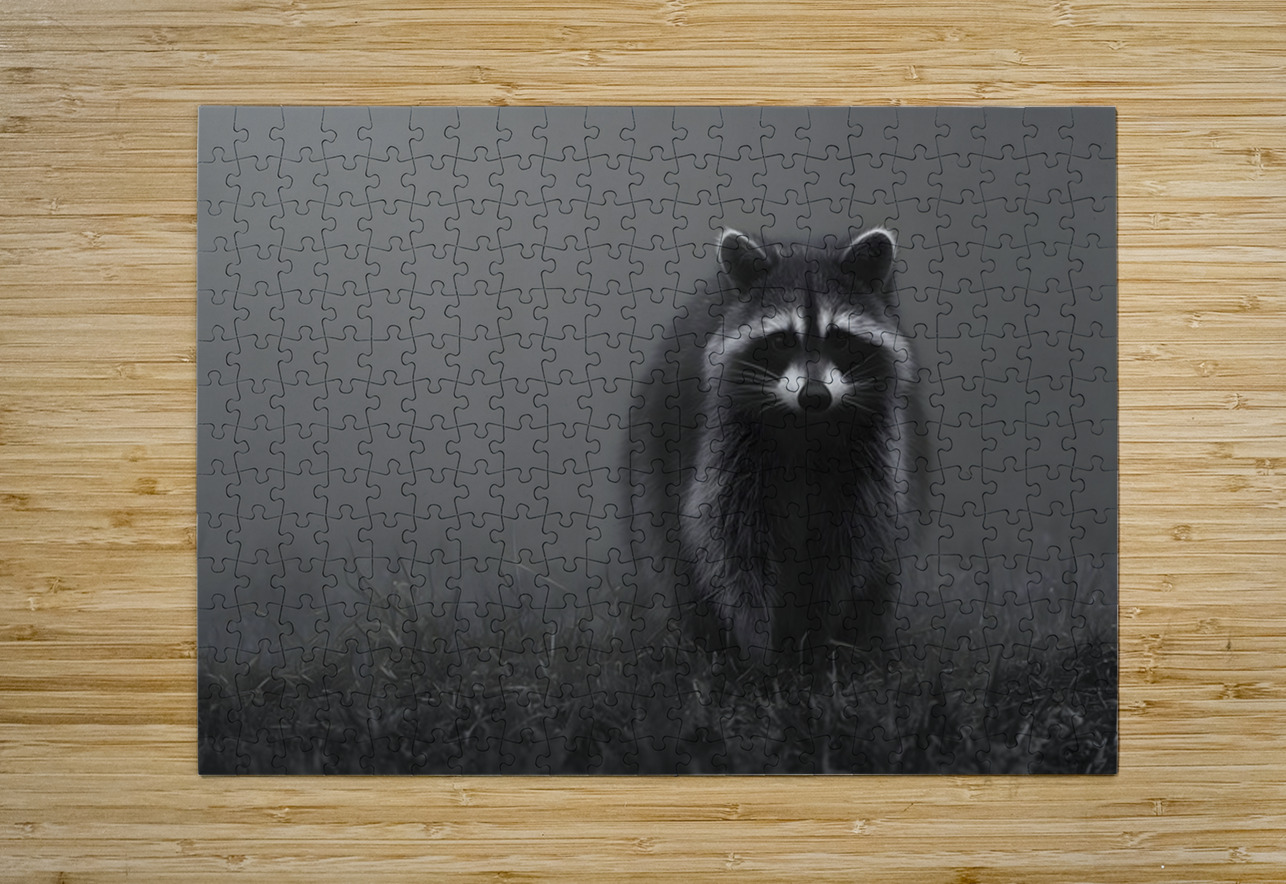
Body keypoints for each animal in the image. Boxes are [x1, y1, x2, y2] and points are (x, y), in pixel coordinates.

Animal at [631, 228, 923, 664]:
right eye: (783, 340)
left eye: (838, 338)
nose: (814, 396)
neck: (805, 425)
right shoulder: (730, 441)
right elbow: (730, 541)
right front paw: (757, 642)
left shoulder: (871, 452)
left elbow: (852, 543)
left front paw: (818, 634)